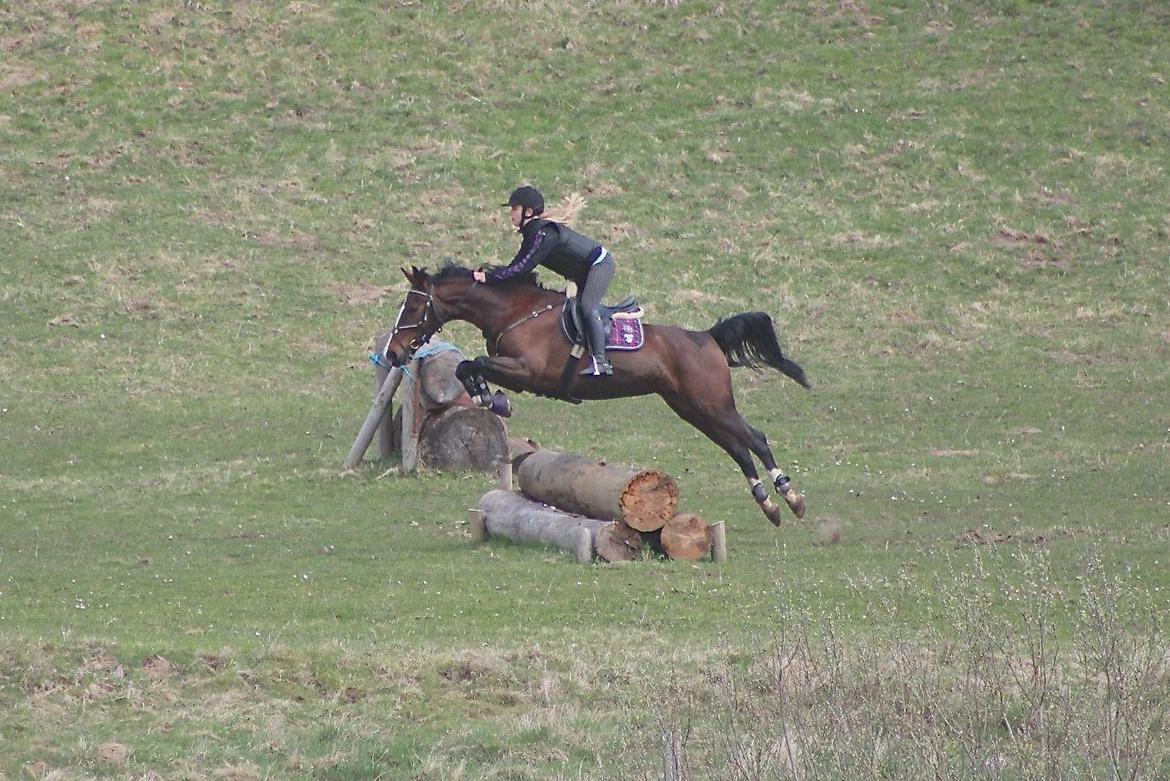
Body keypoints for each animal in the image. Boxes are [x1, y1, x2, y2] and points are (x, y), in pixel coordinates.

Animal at [381, 264, 811, 526]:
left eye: (413, 307)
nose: (393, 352)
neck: (515, 312)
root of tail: (707, 337)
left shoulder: (528, 372)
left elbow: (472, 365)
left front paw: (494, 399)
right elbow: (467, 367)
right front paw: (492, 399)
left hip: (713, 404)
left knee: (755, 438)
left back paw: (789, 497)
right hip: (692, 409)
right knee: (738, 448)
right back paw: (768, 504)